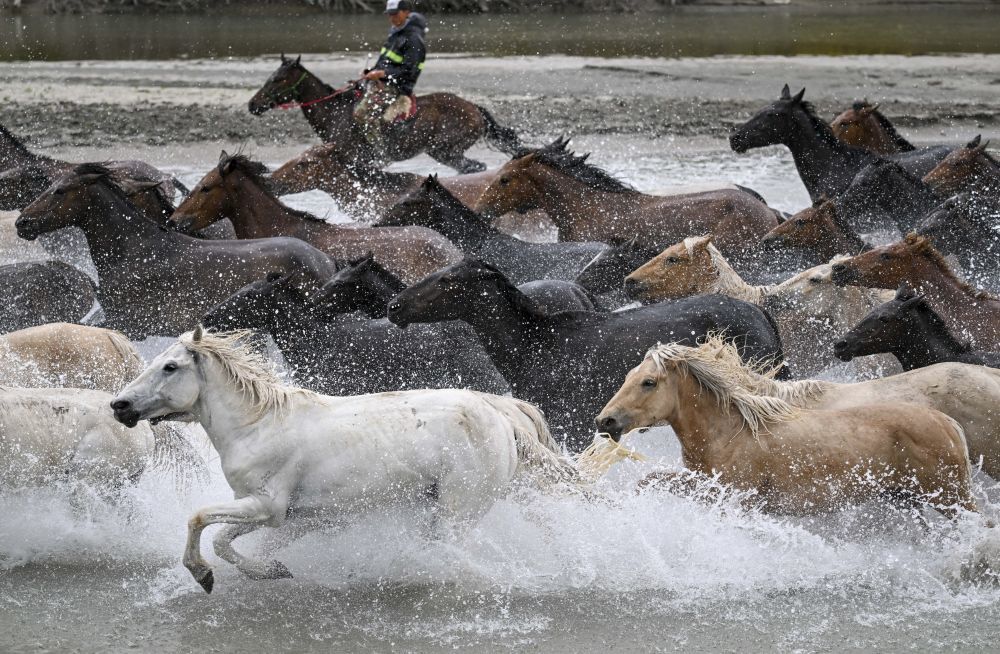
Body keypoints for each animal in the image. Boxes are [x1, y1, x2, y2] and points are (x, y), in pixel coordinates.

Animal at [110, 327, 577, 593]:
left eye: (170, 367)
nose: (119, 406)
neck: (257, 424)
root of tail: (500, 413)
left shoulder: (265, 505)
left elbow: (200, 519)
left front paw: (202, 575)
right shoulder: (286, 516)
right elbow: (226, 540)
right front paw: (272, 570)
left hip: (460, 507)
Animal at [595, 337, 976, 517]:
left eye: (648, 382)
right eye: (628, 376)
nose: (605, 421)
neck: (729, 434)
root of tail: (948, 424)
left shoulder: (736, 495)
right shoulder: (703, 484)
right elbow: (651, 482)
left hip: (950, 498)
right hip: (908, 498)